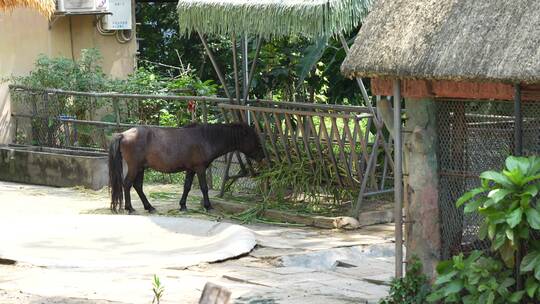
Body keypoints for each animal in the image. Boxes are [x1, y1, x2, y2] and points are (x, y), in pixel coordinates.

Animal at [107, 122, 264, 213]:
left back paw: (149, 207)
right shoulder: (200, 168)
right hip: (135, 167)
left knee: (138, 186)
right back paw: (130, 208)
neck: (206, 138)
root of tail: (123, 134)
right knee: (127, 184)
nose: (262, 156)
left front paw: (182, 205)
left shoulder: (191, 169)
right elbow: (204, 187)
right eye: (253, 138)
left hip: (141, 168)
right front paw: (208, 206)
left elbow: (187, 187)